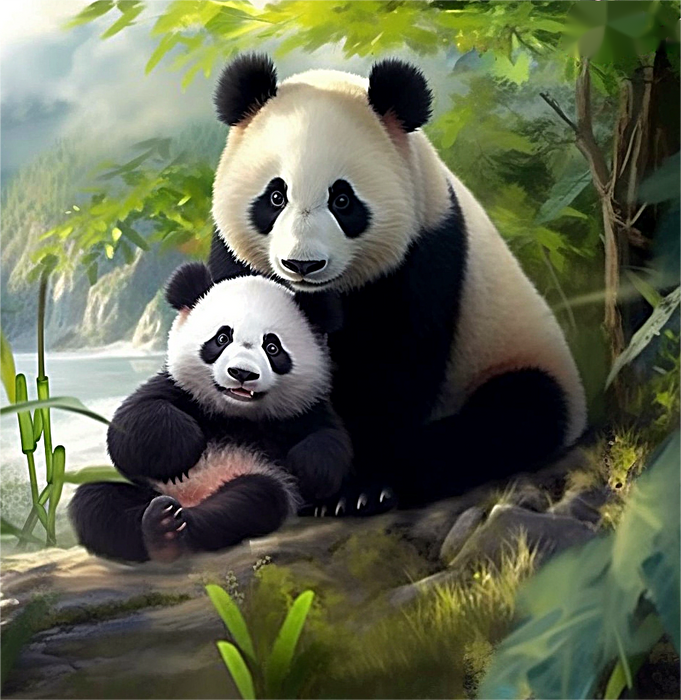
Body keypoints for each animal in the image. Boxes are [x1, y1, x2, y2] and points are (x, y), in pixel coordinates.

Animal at [69, 262, 352, 562]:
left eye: (272, 347)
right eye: (222, 338)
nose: (242, 373)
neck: (235, 415)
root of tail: (189, 497)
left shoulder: (304, 409)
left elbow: (330, 441)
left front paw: (307, 469)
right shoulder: (178, 389)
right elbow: (130, 427)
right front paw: (184, 449)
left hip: (258, 477)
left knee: (250, 501)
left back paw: (172, 531)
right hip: (144, 487)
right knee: (97, 502)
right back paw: (157, 530)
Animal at [206, 54, 588, 514]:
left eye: (342, 200)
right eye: (276, 197)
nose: (302, 264)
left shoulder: (423, 252)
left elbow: (392, 372)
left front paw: (357, 488)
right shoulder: (235, 258)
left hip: (514, 354)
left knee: (514, 416)